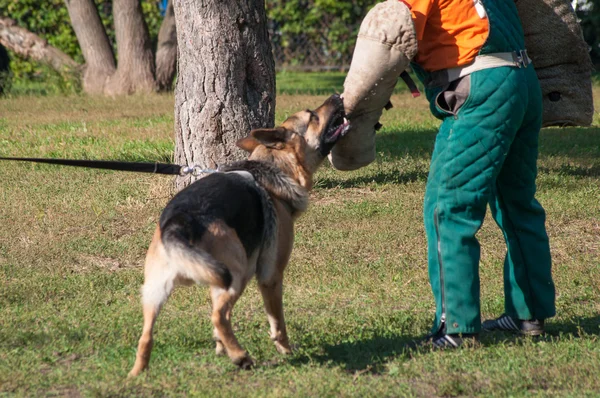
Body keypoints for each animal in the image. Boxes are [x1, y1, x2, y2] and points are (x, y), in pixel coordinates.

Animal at [129, 94, 350, 376]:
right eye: (312, 115)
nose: (337, 96)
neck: (273, 165)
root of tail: (180, 220)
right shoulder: (270, 276)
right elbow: (277, 321)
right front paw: (285, 349)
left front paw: (220, 346)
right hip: (238, 272)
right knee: (218, 316)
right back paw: (240, 356)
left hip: (156, 290)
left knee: (147, 335)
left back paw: (138, 372)